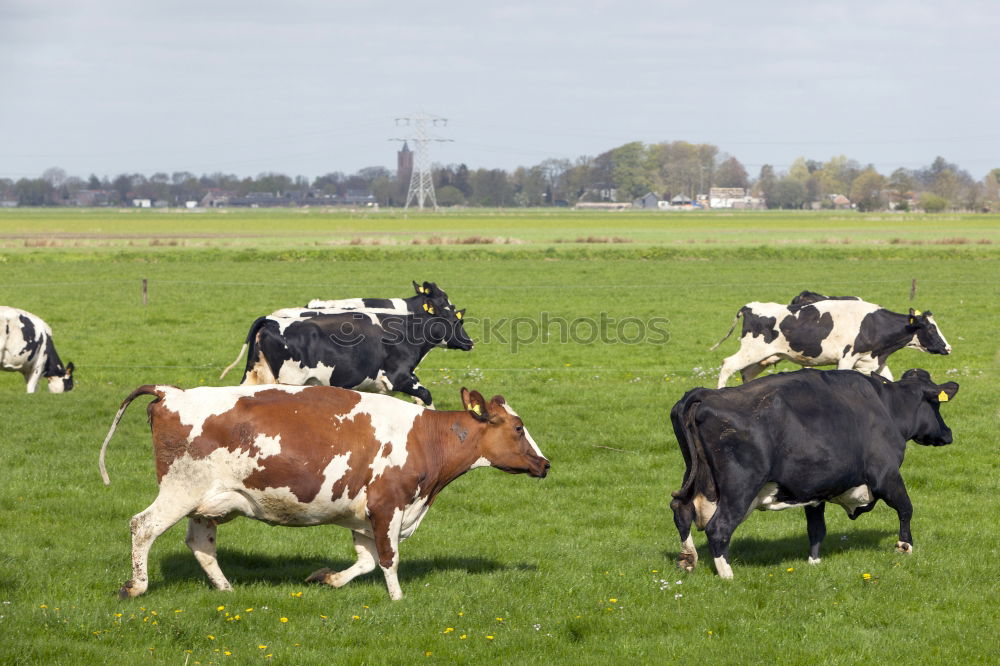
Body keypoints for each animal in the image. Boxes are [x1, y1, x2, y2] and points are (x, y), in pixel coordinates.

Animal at [98, 384, 552, 596]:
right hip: (180, 490)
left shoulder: (363, 515)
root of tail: (171, 392)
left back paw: (226, 590)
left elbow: (366, 562)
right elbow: (388, 560)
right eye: (518, 428)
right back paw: (136, 586)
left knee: (200, 544)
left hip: (207, 503)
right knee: (143, 526)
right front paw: (398, 599)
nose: (545, 463)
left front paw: (328, 578)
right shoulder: (388, 507)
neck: (426, 437)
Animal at [243, 300, 476, 404]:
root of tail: (270, 320)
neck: (408, 330)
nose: (470, 342)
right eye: (457, 322)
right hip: (289, 381)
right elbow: (426, 396)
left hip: (254, 377)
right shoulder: (398, 377)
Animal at [668, 366, 956, 580]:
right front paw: (905, 547)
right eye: (936, 406)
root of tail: (706, 394)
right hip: (740, 488)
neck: (886, 407)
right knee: (719, 527)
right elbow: (906, 508)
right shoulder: (886, 475)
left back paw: (688, 559)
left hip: (695, 478)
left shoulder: (816, 490)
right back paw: (727, 574)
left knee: (681, 509)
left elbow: (817, 528)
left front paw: (814, 562)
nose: (948, 433)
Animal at [712, 294, 952, 386]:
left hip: (765, 357)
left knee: (746, 374)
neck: (874, 325)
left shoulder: (875, 361)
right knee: (728, 365)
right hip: (752, 350)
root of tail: (751, 306)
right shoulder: (847, 359)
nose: (948, 348)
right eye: (931, 328)